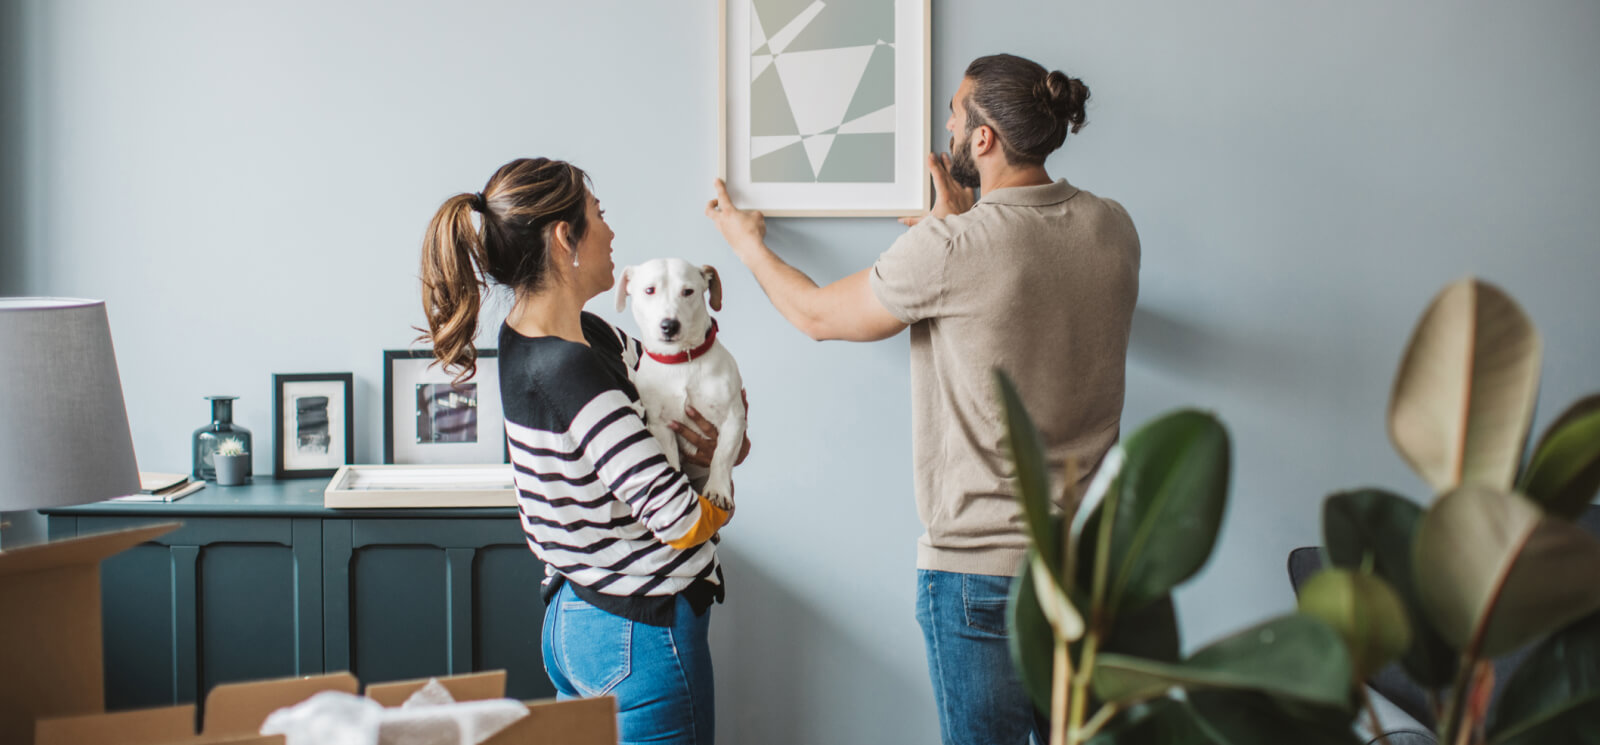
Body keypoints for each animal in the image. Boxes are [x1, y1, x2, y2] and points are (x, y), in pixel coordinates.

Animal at [614, 258, 745, 508]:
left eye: (688, 291)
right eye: (649, 290)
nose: (669, 325)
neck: (681, 361)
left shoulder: (733, 418)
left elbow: (721, 456)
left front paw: (718, 489)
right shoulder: (660, 425)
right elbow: (670, 458)